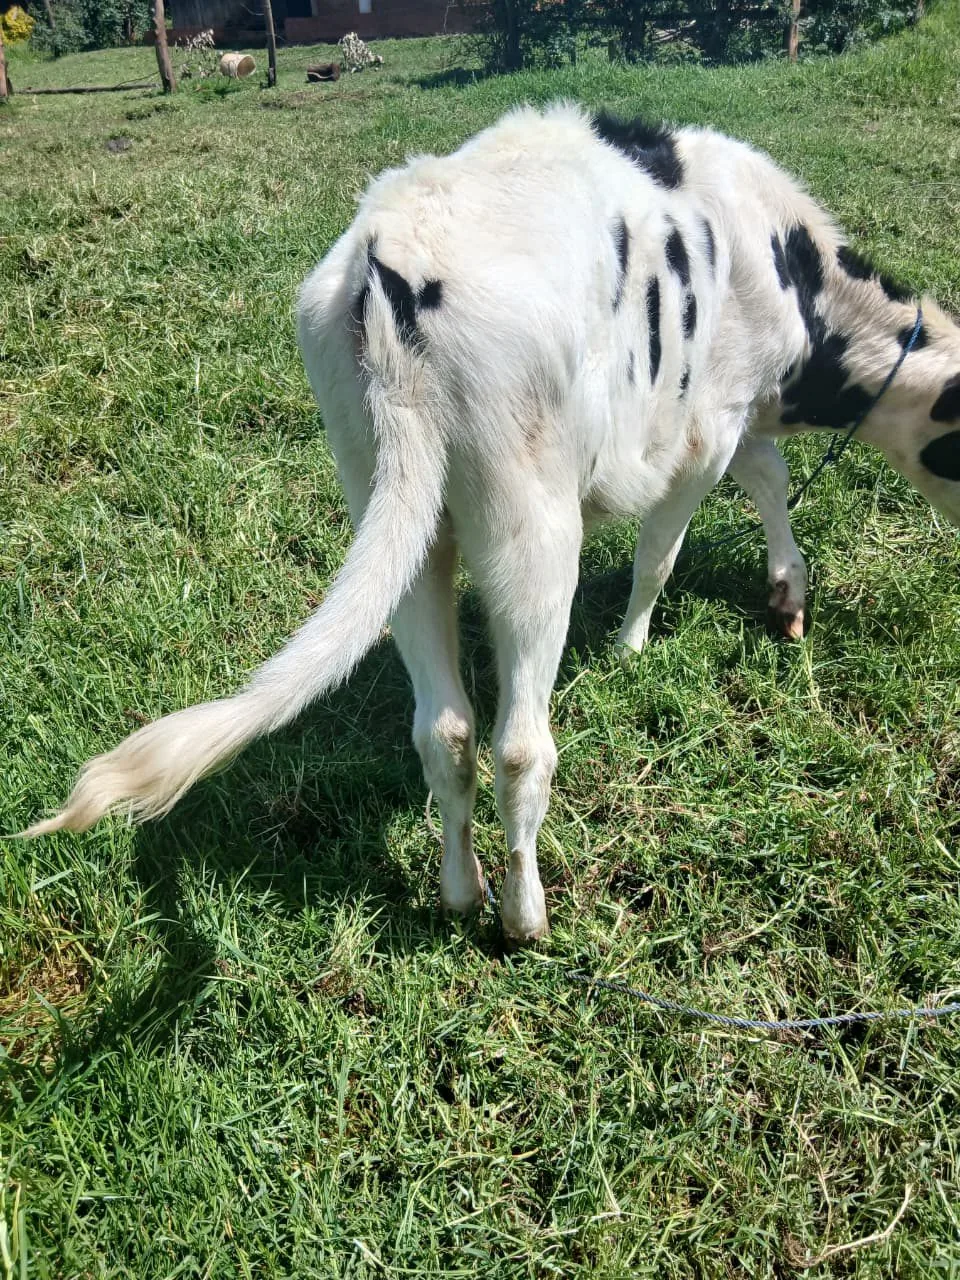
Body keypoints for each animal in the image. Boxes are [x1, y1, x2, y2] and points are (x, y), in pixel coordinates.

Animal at [21, 104, 960, 945]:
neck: (794, 280)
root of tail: (392, 257)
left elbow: (769, 480)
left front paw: (788, 595)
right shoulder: (707, 426)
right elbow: (667, 547)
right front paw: (633, 647)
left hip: (394, 510)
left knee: (443, 728)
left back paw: (459, 893)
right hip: (530, 527)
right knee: (519, 745)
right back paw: (522, 916)